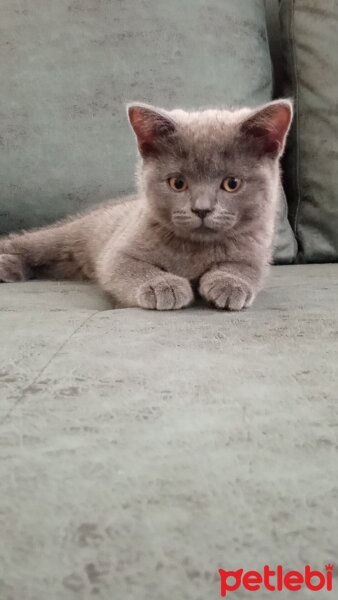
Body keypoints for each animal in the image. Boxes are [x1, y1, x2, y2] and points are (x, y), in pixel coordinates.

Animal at [0, 99, 292, 312]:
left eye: (232, 183)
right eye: (178, 183)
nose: (201, 209)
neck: (195, 249)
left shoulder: (256, 251)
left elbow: (244, 268)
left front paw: (229, 284)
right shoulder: (117, 251)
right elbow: (132, 267)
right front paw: (163, 286)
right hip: (65, 236)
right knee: (27, 243)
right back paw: (7, 264)